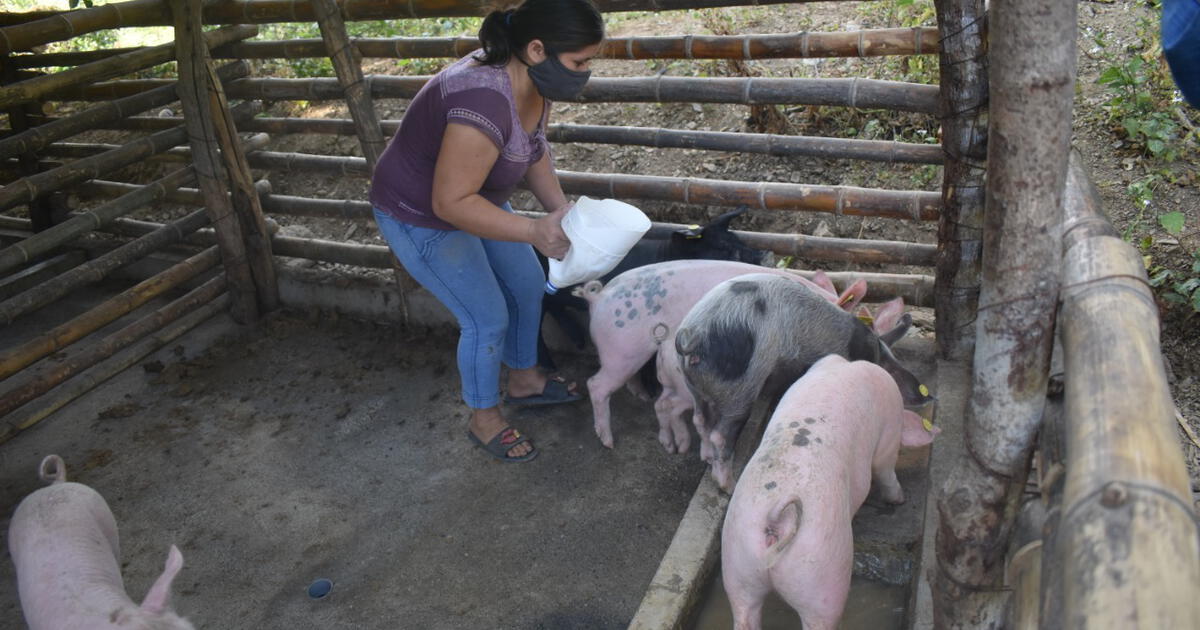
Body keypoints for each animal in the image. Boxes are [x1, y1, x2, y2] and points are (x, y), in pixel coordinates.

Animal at [532, 206, 758, 374]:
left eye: (738, 239)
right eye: (722, 248)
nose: (761, 254)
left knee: (555, 307)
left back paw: (578, 342)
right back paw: (551, 368)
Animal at [672, 272, 931, 489]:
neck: (872, 350)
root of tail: (694, 334)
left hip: (695, 386)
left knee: (700, 421)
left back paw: (707, 459)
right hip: (743, 386)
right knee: (720, 434)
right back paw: (728, 485)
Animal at [715, 352, 931, 628]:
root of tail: (777, 522)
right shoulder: (889, 433)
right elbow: (886, 470)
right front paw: (899, 501)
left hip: (737, 560)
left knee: (744, 611)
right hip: (823, 573)